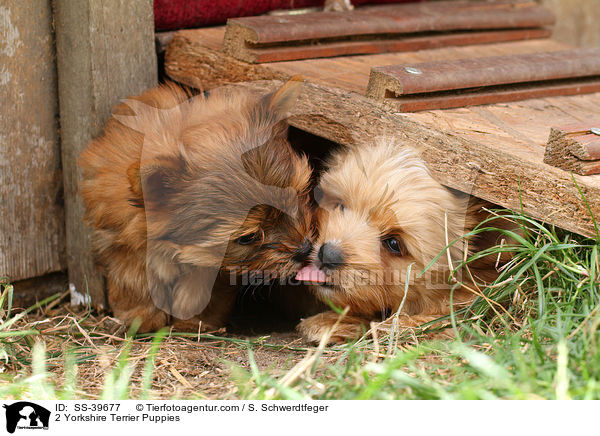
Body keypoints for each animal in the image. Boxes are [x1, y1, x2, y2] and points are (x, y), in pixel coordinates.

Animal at [79, 80, 314, 332]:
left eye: (296, 198)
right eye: (248, 237)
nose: (304, 250)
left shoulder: (210, 264)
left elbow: (199, 287)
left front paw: (193, 321)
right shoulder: (122, 239)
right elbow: (134, 277)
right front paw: (140, 316)